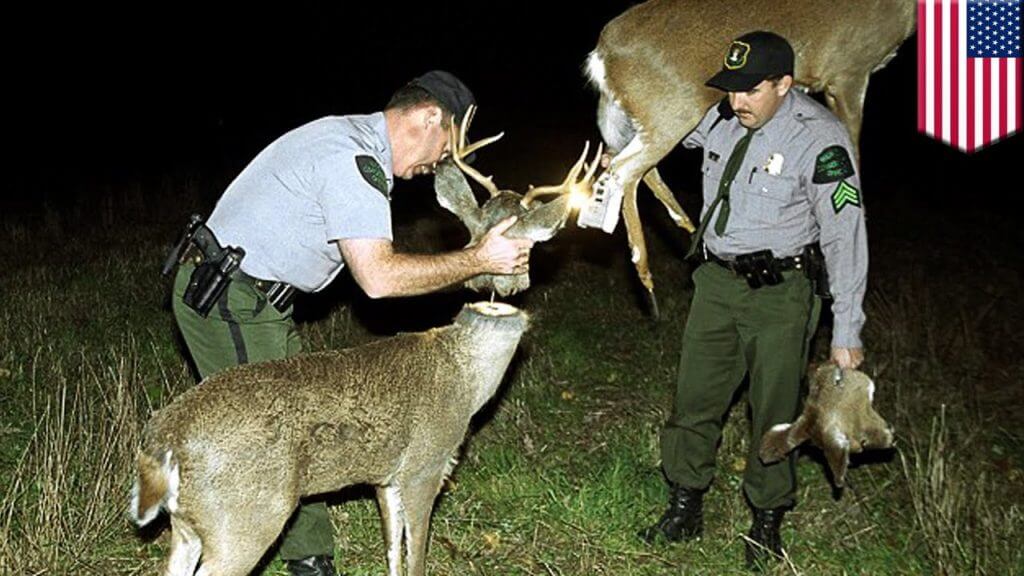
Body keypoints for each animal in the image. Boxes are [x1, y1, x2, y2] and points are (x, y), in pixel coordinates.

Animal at [581, 0, 917, 313]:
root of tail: (602, 55)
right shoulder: (849, 70)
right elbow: (852, 152)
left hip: (633, 118)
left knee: (629, 165)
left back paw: (688, 232)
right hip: (671, 110)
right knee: (624, 171)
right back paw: (648, 278)